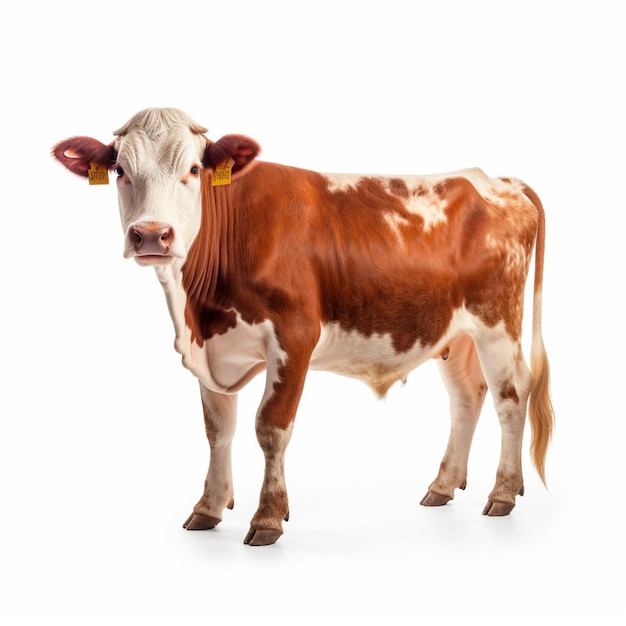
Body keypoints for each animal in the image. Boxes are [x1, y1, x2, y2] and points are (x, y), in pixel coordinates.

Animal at [52, 108, 552, 544]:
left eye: (193, 169)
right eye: (119, 169)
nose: (152, 235)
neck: (196, 309)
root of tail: (502, 181)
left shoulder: (294, 336)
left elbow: (271, 427)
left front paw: (268, 517)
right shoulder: (211, 348)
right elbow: (218, 429)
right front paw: (208, 508)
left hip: (497, 324)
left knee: (511, 396)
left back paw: (503, 492)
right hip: (454, 331)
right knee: (467, 397)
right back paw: (443, 486)